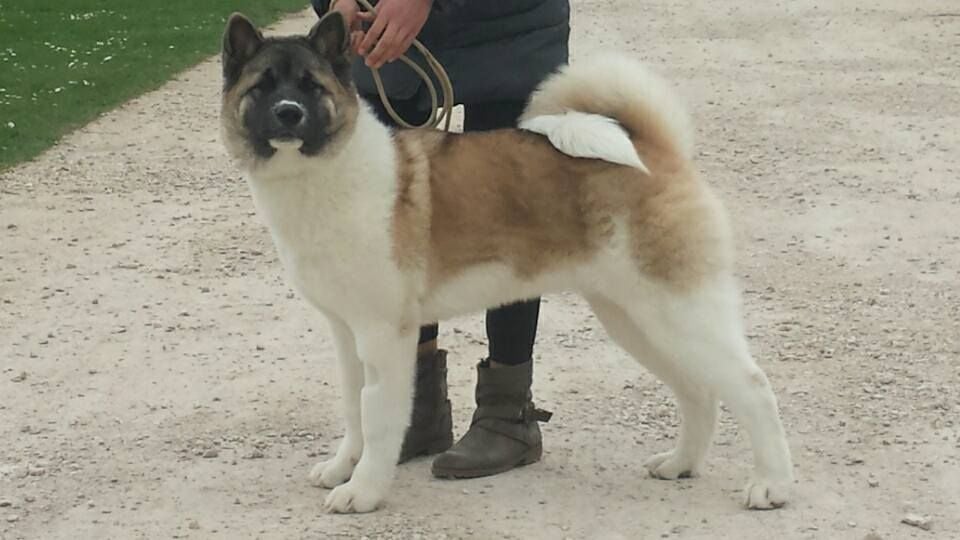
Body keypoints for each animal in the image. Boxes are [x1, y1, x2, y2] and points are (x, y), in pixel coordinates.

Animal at [219, 10, 796, 512]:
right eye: (263, 87)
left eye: (311, 86)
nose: (288, 113)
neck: (324, 177)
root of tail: (654, 149)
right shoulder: (346, 333)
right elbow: (354, 407)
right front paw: (344, 467)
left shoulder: (384, 335)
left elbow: (378, 415)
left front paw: (363, 491)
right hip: (635, 319)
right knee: (697, 391)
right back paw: (680, 463)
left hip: (680, 311)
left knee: (752, 387)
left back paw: (771, 485)